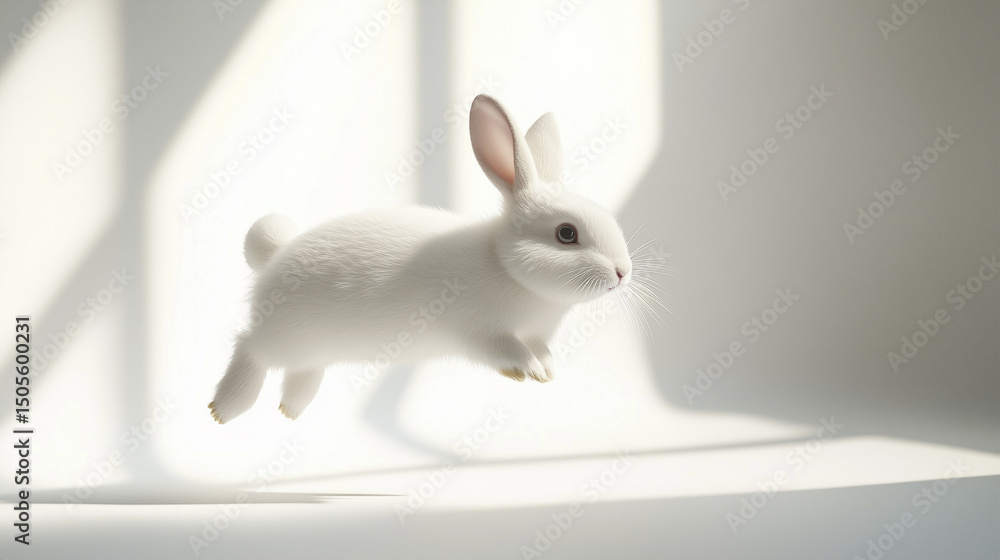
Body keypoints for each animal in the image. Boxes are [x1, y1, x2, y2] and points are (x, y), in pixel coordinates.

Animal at [208, 94, 633, 423]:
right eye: (566, 234)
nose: (623, 273)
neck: (505, 266)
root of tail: (276, 254)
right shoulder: (483, 334)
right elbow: (507, 351)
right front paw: (526, 371)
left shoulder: (535, 335)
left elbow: (541, 351)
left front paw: (546, 372)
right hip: (283, 336)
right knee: (248, 348)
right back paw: (224, 410)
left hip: (310, 349)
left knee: (300, 371)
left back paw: (290, 410)